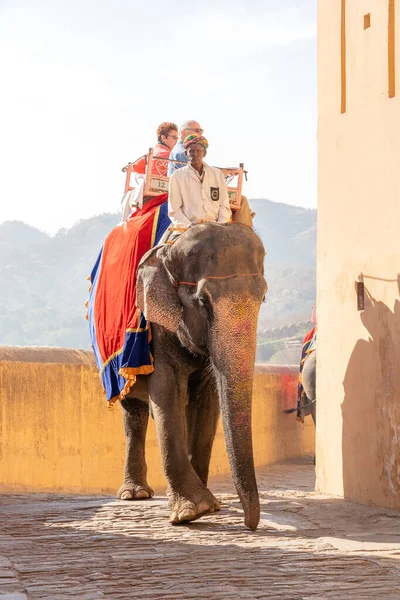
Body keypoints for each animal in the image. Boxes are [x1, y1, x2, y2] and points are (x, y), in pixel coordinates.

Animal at [116, 223, 266, 532]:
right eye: (202, 302)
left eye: (263, 297)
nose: (250, 524)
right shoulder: (158, 327)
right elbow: (166, 391)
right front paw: (192, 512)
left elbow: (208, 404)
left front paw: (209, 507)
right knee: (133, 413)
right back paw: (135, 494)